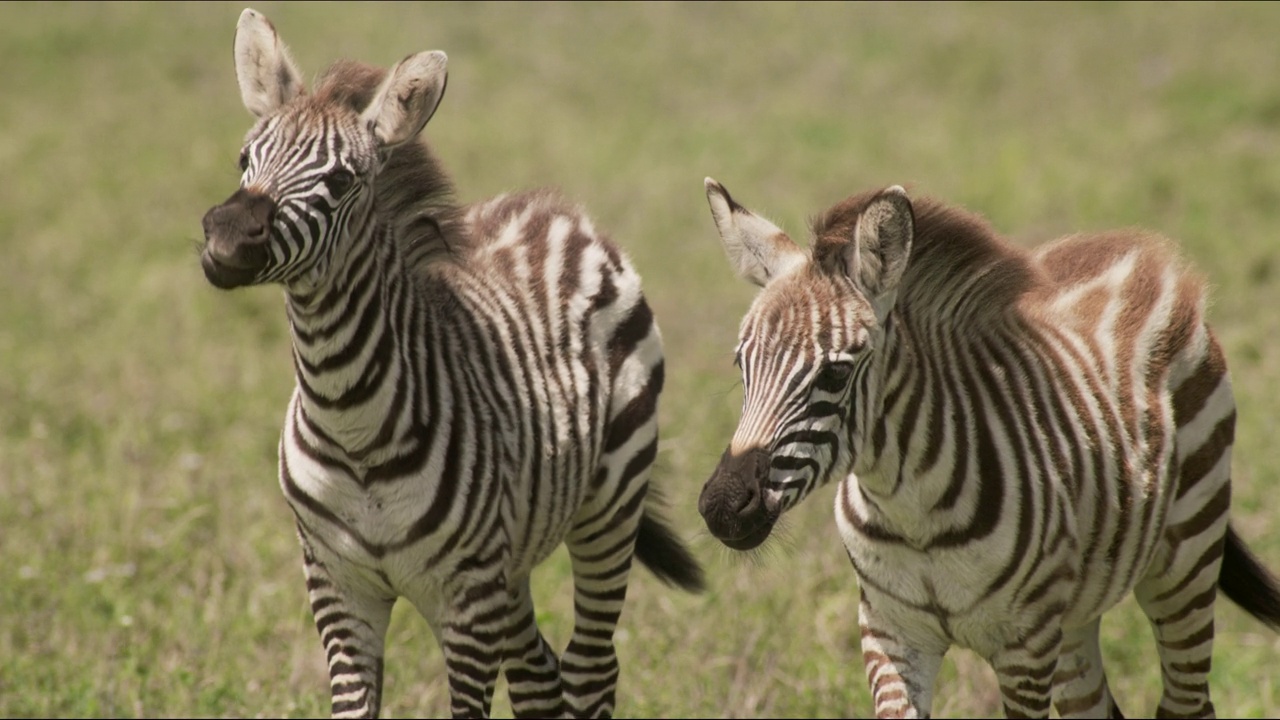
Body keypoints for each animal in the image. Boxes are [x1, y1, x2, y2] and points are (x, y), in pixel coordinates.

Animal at [199, 8, 706, 712]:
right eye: (245, 158)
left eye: (340, 181)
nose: (223, 237)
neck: (350, 419)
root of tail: (558, 209)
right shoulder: (337, 585)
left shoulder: (467, 603)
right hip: (512, 558)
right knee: (539, 673)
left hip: (609, 505)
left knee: (590, 665)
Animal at [696, 176, 1280, 712]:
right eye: (741, 364)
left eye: (836, 374)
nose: (722, 507)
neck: (912, 516)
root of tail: (1145, 247)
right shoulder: (891, 633)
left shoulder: (1025, 648)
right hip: (1074, 610)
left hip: (1187, 559)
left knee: (1187, 701)